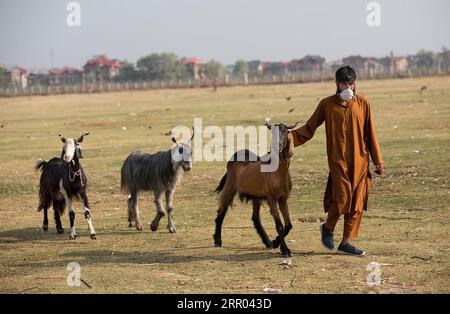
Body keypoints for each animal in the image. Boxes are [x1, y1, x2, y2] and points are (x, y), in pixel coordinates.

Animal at [214, 121, 298, 256]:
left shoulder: (283, 198)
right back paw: (217, 240)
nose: (278, 146)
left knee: (255, 218)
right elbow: (279, 225)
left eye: (285, 132)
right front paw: (285, 250)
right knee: (221, 211)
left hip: (255, 196)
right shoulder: (271, 198)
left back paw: (268, 242)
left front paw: (276, 243)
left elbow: (288, 224)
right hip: (230, 187)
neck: (278, 173)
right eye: (272, 132)